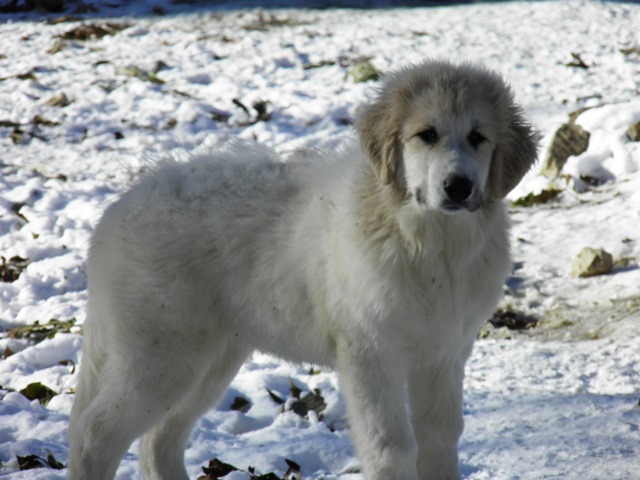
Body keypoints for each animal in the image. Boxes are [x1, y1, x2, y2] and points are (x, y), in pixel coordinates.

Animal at [69, 60, 540, 480]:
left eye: (478, 137)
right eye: (428, 135)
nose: (458, 187)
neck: (429, 243)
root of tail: (117, 210)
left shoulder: (444, 352)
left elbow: (440, 438)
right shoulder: (371, 352)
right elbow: (391, 446)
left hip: (209, 361)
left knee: (158, 442)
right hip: (160, 354)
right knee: (95, 435)